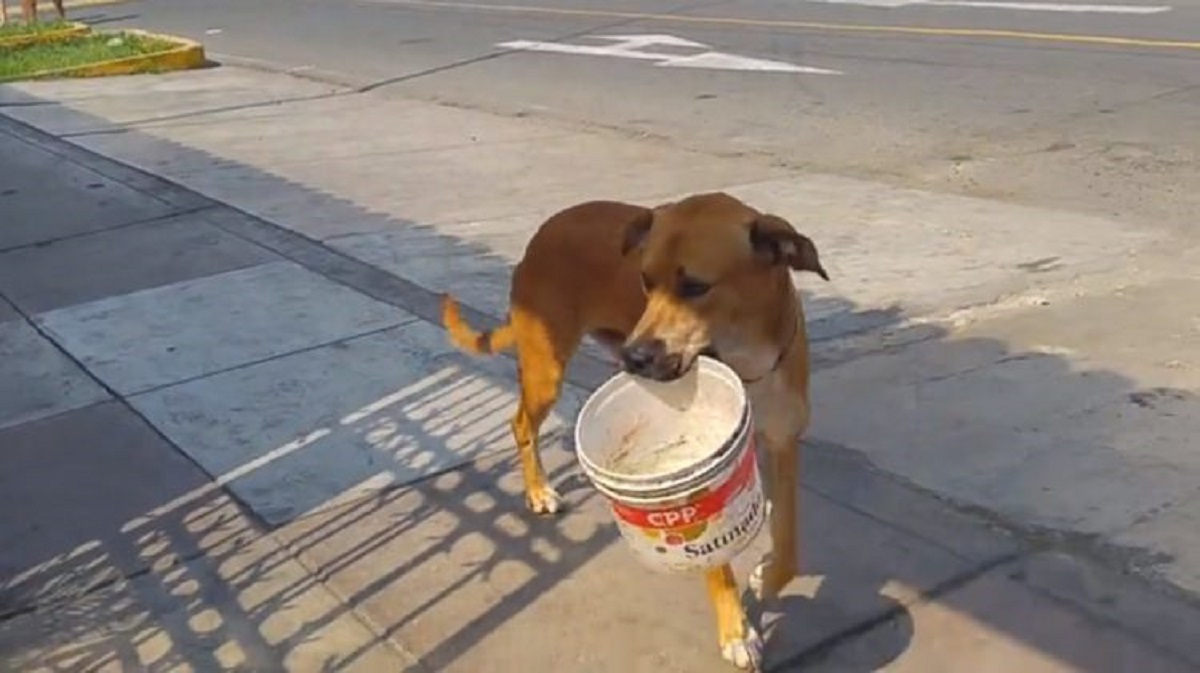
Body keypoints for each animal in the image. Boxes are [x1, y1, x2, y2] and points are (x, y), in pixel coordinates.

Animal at [441, 191, 825, 667]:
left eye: (695, 287)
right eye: (645, 281)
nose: (635, 356)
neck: (746, 355)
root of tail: (545, 231)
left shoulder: (782, 442)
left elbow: (789, 547)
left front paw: (768, 577)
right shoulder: (695, 474)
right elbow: (714, 564)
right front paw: (736, 630)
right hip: (546, 368)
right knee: (520, 422)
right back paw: (538, 491)